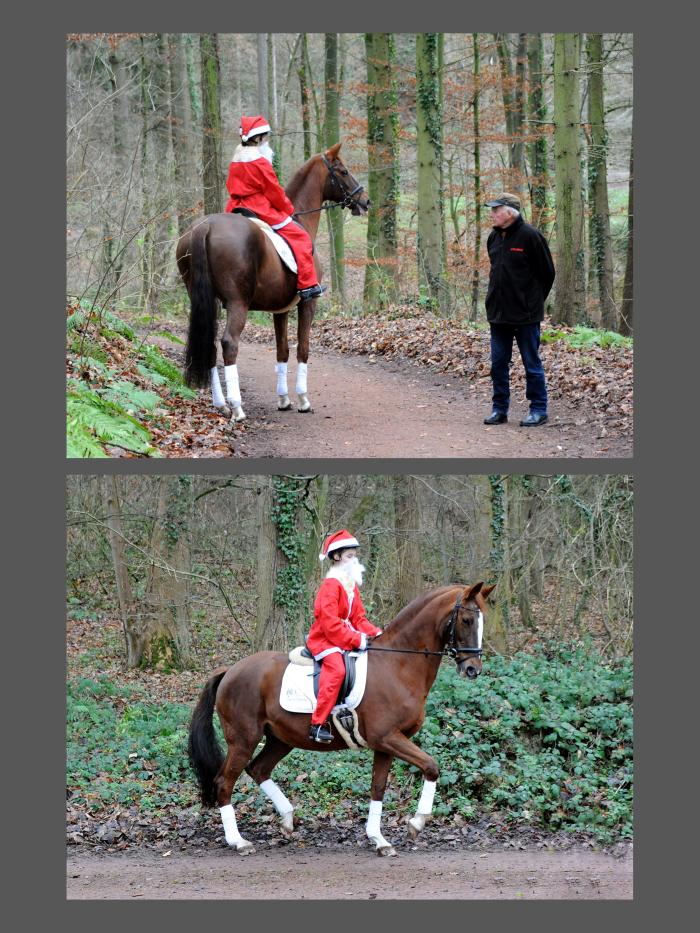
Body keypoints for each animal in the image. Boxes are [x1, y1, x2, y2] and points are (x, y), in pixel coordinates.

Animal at [175, 143, 370, 422]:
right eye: (343, 171)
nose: (365, 200)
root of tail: (206, 226)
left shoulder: (281, 309)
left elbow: (282, 350)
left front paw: (284, 399)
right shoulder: (307, 303)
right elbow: (303, 348)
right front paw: (303, 400)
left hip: (203, 299)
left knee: (210, 345)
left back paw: (221, 404)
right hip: (238, 303)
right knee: (229, 344)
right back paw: (237, 407)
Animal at [189, 584, 494, 860]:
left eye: (483, 622)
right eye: (467, 620)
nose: (473, 669)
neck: (398, 665)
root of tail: (231, 670)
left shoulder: (386, 744)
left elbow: (378, 788)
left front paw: (379, 839)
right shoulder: (388, 738)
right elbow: (431, 766)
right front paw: (416, 823)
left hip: (281, 739)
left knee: (258, 769)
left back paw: (287, 819)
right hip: (243, 739)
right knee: (224, 782)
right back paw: (238, 841)